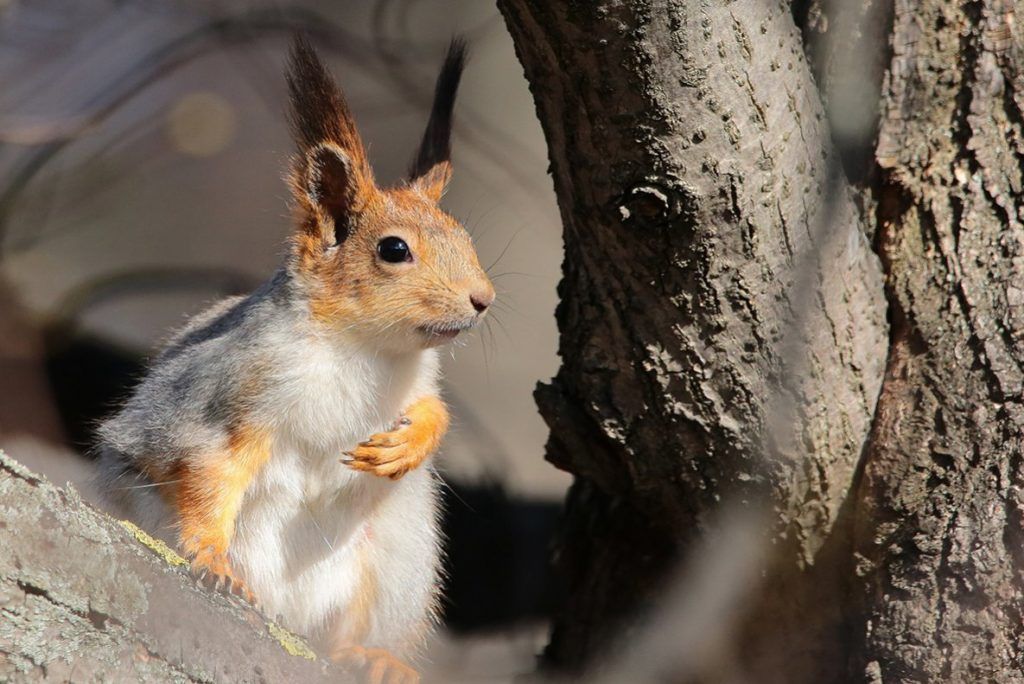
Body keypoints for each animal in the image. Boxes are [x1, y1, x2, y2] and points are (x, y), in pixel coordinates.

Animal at [94, 34, 493, 679]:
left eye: (465, 237)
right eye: (394, 250)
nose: (484, 300)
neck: (367, 349)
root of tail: (290, 615)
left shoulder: (419, 383)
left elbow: (437, 411)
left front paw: (408, 443)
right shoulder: (230, 390)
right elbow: (207, 468)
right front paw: (210, 557)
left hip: (397, 565)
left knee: (350, 629)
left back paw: (370, 655)